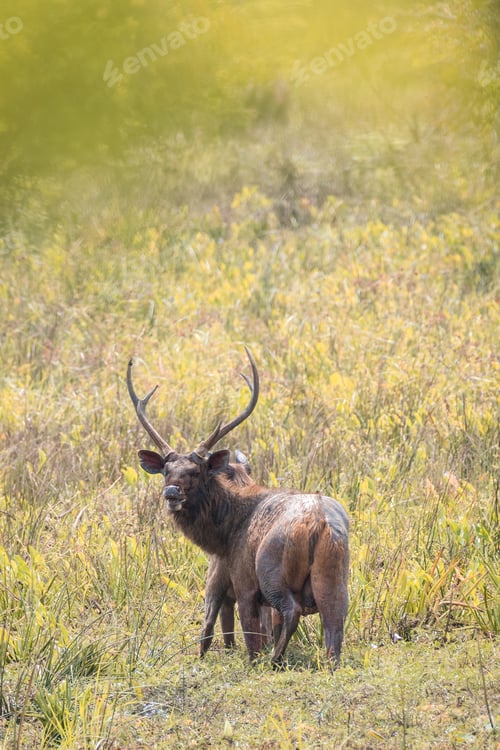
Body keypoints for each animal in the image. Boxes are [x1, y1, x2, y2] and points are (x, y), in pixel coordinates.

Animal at [127, 347, 349, 666]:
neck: (224, 534)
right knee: (335, 625)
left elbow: (240, 632)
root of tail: (317, 524)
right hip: (334, 573)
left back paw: (272, 660)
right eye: (166, 471)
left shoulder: (239, 578)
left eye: (196, 471)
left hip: (269, 570)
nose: (171, 493)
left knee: (289, 610)